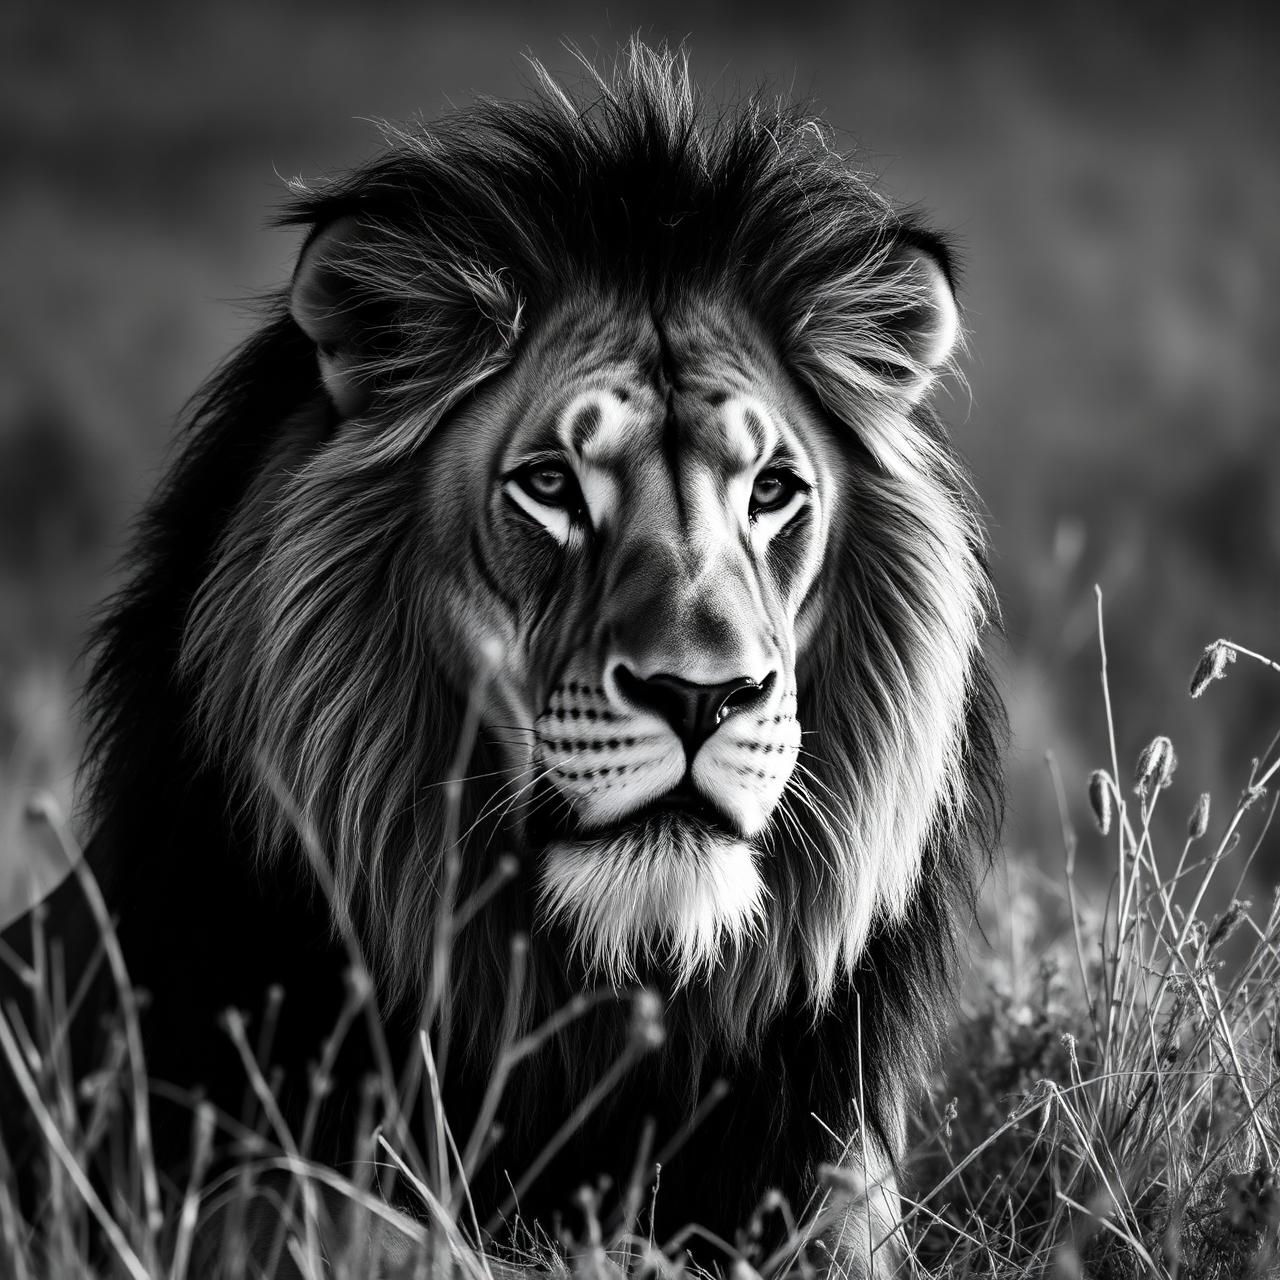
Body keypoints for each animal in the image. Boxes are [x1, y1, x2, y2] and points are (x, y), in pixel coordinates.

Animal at [0, 43, 1002, 1279]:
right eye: (550, 487)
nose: (702, 695)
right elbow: (367, 1224)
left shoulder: (839, 1192)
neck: (598, 1023)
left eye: (772, 490)